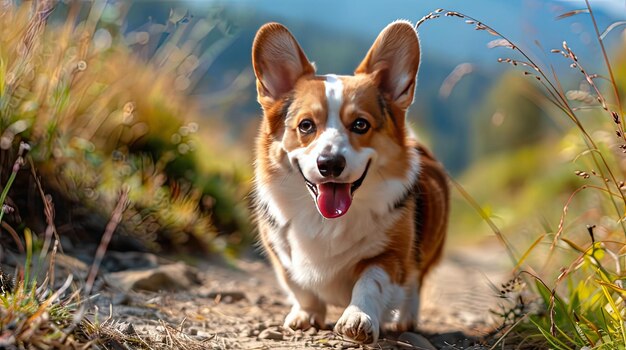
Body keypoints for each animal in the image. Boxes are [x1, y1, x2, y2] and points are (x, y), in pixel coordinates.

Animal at [250, 20, 448, 344]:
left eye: (360, 124)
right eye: (306, 125)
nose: (330, 164)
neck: (325, 222)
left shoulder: (390, 255)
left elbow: (369, 282)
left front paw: (358, 317)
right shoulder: (280, 253)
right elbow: (301, 288)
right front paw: (305, 316)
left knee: (415, 284)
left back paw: (406, 320)